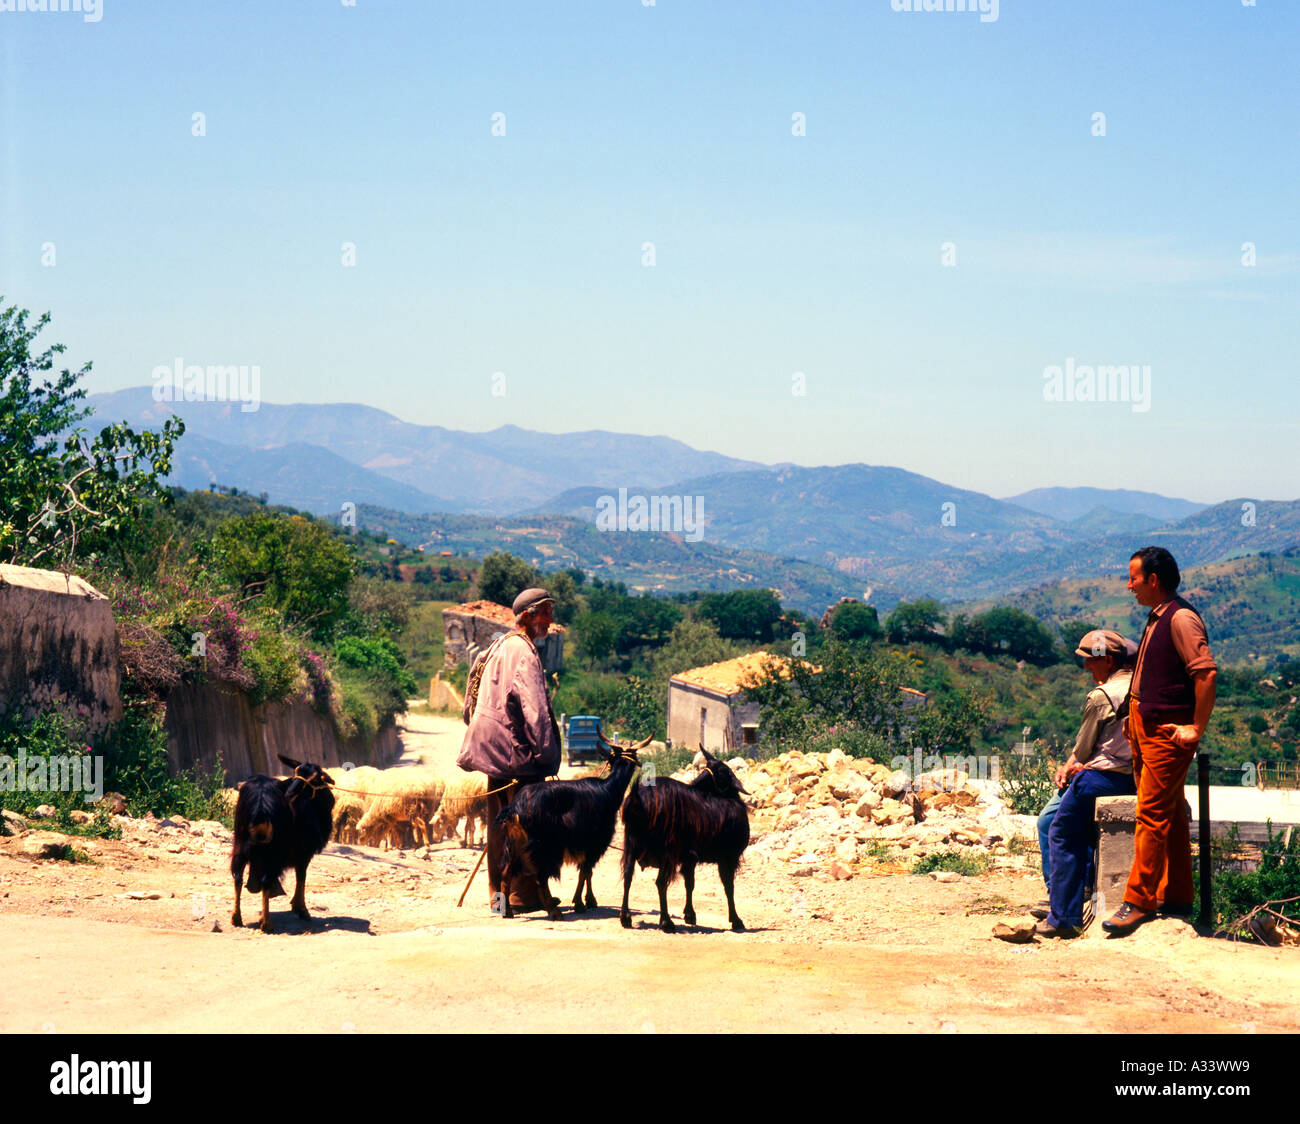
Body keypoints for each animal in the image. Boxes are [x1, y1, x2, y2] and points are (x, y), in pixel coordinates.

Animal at [232, 758, 338, 935]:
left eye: (315, 778)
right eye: (296, 772)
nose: (289, 793)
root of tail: (261, 802)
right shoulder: (304, 852)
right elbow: (301, 877)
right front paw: (301, 909)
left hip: (240, 843)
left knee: (237, 876)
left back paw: (236, 918)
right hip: (274, 850)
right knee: (266, 881)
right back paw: (266, 923)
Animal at [493, 738, 647, 919]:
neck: (609, 790)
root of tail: (515, 807)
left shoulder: (586, 846)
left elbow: (587, 872)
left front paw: (587, 901)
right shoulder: (594, 843)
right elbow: (585, 872)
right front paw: (581, 903)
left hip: (514, 844)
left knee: (506, 872)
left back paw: (508, 911)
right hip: (543, 846)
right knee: (540, 877)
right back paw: (554, 911)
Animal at [621, 743, 754, 930]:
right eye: (723, 772)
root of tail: (637, 800)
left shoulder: (690, 857)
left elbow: (689, 883)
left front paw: (690, 915)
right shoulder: (728, 857)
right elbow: (728, 886)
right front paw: (736, 920)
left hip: (631, 845)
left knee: (627, 876)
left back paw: (626, 917)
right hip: (667, 851)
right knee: (660, 882)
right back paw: (666, 922)